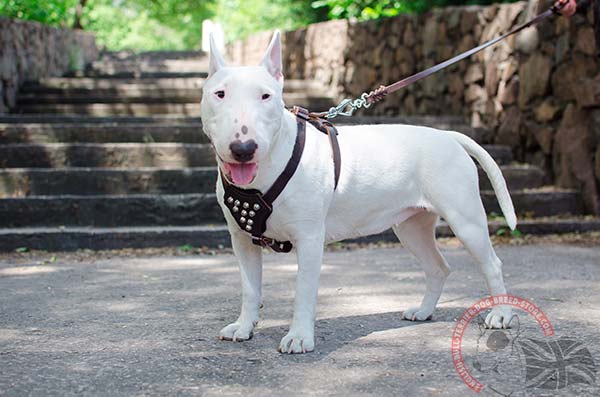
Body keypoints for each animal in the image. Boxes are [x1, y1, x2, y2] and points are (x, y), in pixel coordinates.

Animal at [202, 31, 516, 352]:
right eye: (220, 94)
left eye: (265, 96)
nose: (243, 148)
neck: (266, 169)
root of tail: (447, 135)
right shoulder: (242, 241)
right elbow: (250, 288)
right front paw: (244, 327)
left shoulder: (309, 239)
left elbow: (303, 291)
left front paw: (299, 336)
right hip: (411, 227)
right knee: (438, 267)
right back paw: (424, 311)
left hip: (466, 221)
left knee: (492, 264)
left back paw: (500, 314)